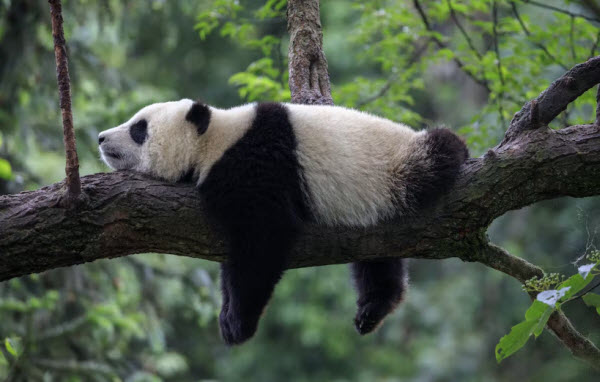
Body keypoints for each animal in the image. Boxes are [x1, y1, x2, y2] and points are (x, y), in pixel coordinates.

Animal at [97, 99, 468, 346]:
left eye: (139, 128)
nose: (100, 137)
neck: (215, 139)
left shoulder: (256, 165)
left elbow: (263, 239)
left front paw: (237, 323)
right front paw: (227, 314)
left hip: (398, 168)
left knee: (439, 152)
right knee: (377, 259)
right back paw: (373, 308)